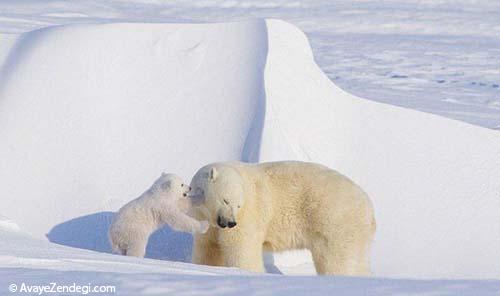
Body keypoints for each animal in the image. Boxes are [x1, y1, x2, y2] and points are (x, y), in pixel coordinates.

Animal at [190, 162, 376, 276]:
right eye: (226, 200)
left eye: (238, 205)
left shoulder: (249, 213)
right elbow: (209, 249)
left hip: (335, 222)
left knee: (338, 260)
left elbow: (241, 248)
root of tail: (369, 207)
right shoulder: (203, 221)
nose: (230, 223)